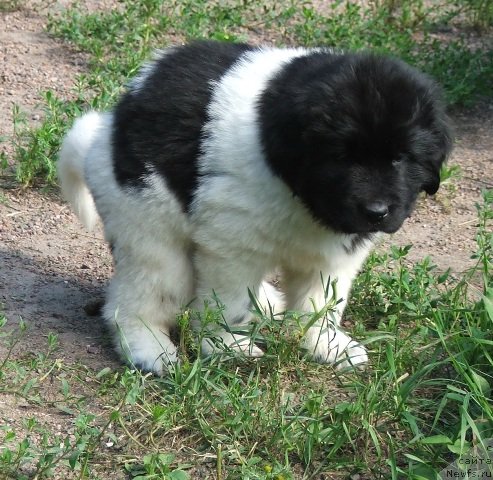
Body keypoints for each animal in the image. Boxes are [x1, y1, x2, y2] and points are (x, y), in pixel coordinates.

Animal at [57, 40, 450, 376]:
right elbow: (226, 301)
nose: (377, 211)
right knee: (138, 298)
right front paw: (226, 346)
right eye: (341, 157)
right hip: (148, 226)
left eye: (401, 158)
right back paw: (150, 349)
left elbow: (321, 302)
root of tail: (102, 137)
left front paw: (324, 345)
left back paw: (266, 302)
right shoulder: (231, 242)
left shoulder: (335, 254)